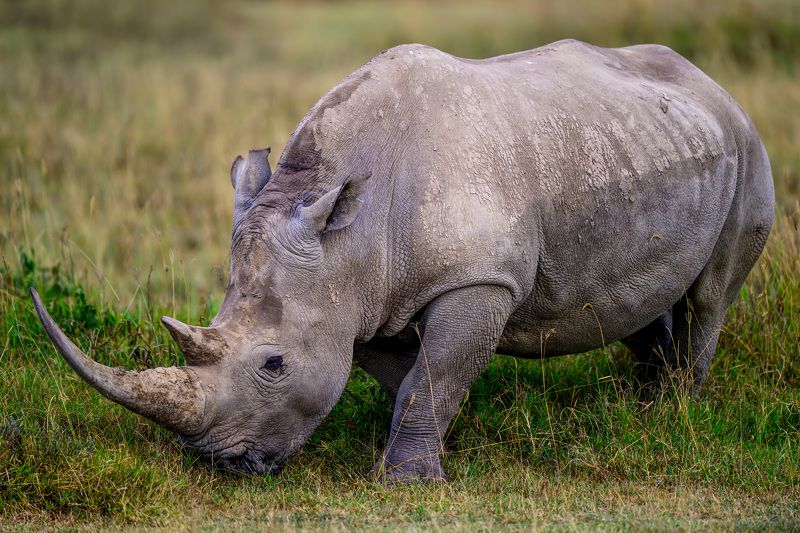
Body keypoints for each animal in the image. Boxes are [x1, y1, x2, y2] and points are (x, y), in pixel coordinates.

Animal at [32, 40, 774, 481]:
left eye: (274, 365)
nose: (224, 463)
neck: (347, 237)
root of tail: (713, 83)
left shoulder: (478, 281)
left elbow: (433, 373)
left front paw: (407, 479)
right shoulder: (359, 298)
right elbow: (410, 376)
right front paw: (444, 444)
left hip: (746, 145)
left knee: (710, 296)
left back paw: (671, 415)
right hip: (651, 143)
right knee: (644, 302)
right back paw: (642, 405)